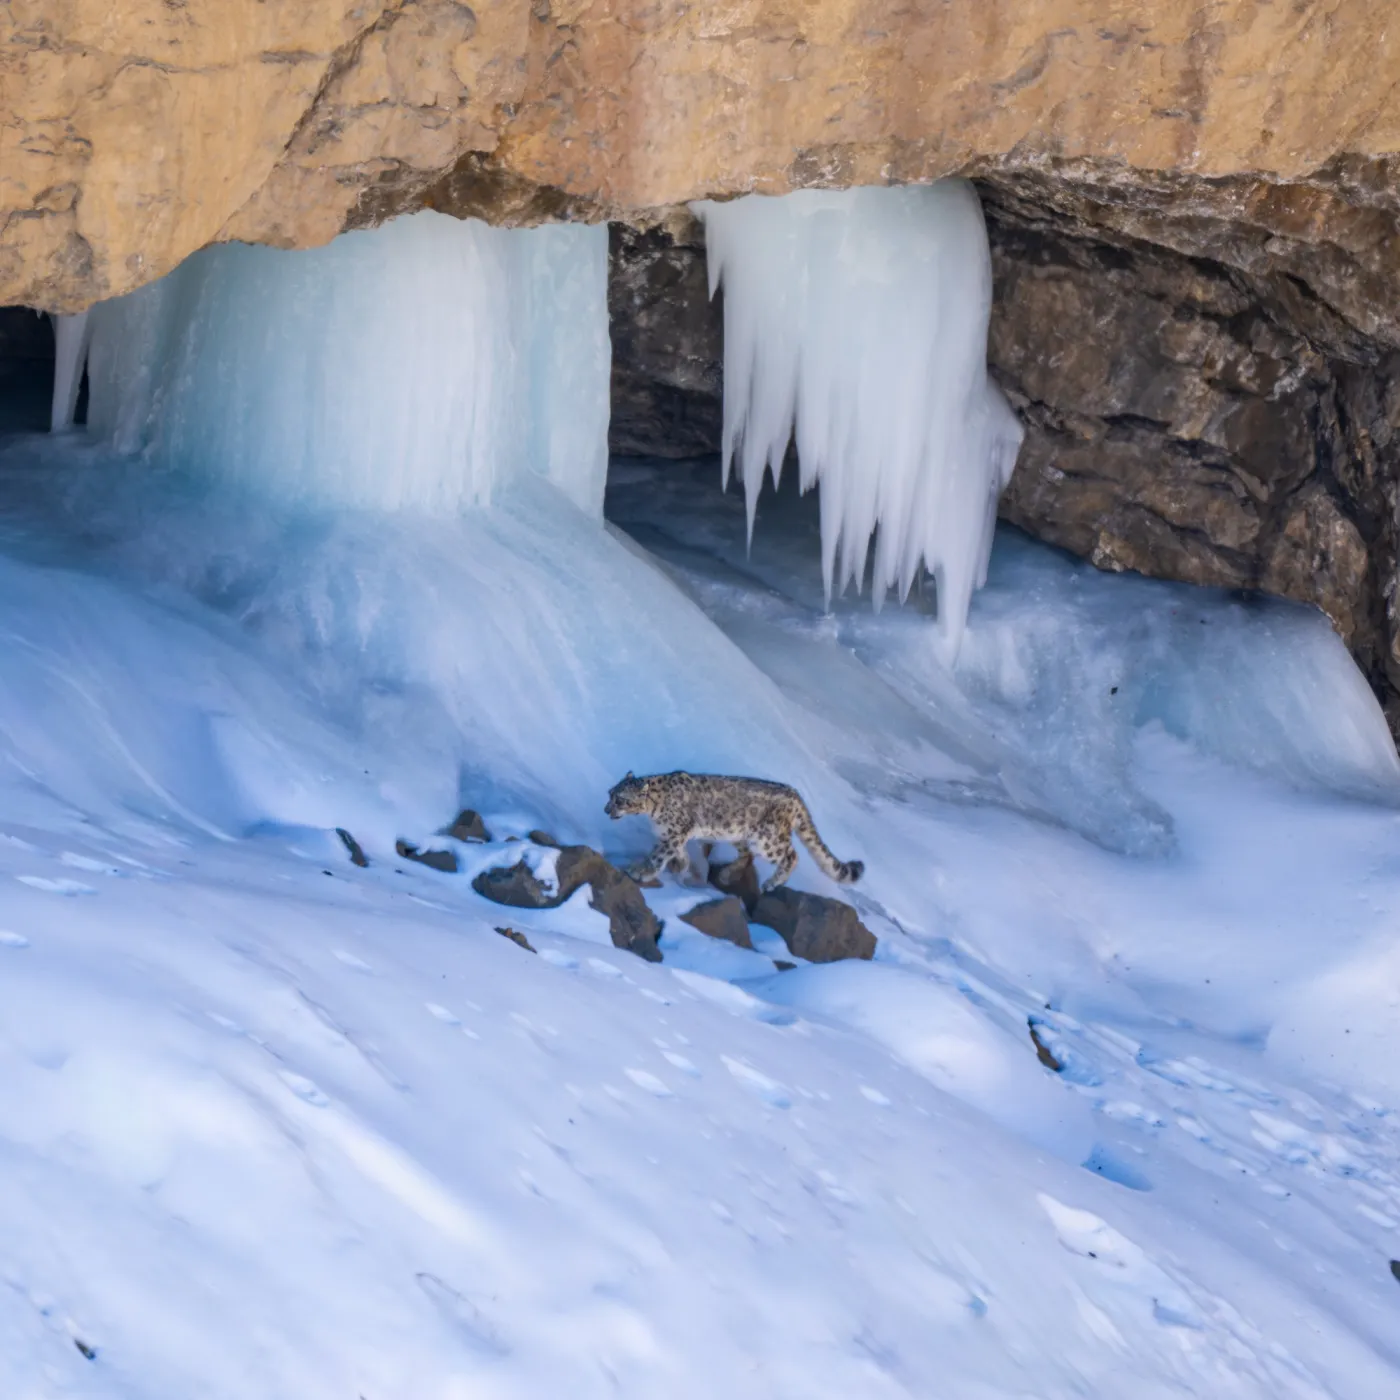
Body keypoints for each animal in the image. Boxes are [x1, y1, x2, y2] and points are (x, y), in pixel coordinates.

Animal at [604, 770, 864, 892]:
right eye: (610, 793)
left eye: (620, 799)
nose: (606, 809)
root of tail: (795, 794)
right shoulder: (674, 836)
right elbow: (679, 853)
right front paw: (682, 867)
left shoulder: (674, 834)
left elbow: (657, 856)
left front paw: (640, 871)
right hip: (737, 834)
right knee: (746, 855)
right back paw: (726, 875)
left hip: (767, 839)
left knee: (792, 855)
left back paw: (771, 883)